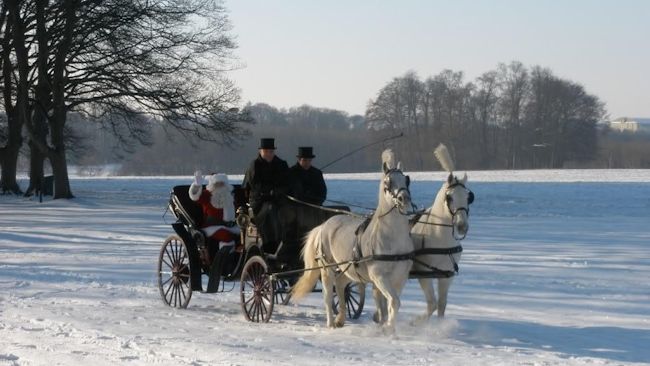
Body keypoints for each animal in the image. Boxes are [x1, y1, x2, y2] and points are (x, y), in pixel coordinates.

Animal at [292, 149, 412, 332]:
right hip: (327, 268)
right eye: (388, 182)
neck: (393, 238)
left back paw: (341, 318)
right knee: (328, 295)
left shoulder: (400, 278)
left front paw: (384, 324)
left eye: (406, 179)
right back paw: (331, 323)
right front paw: (388, 329)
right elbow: (393, 302)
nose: (404, 199)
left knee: (341, 284)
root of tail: (324, 225)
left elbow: (389, 304)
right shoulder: (379, 276)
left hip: (348, 269)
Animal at [410, 144, 470, 322]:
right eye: (449, 197)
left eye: (469, 197)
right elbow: (432, 304)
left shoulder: (446, 275)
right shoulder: (423, 274)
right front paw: (414, 323)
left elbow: (442, 304)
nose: (462, 226)